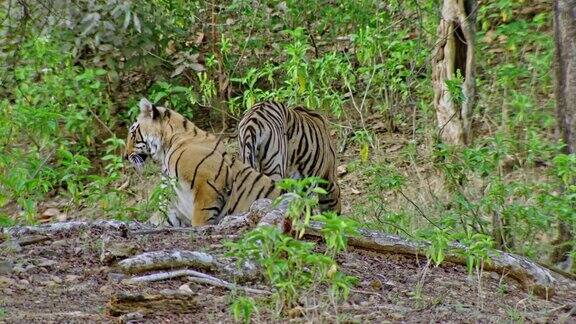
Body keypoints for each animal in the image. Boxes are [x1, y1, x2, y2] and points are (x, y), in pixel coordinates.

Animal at [125, 97, 280, 227]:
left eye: (132, 133)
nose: (125, 156)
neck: (167, 147)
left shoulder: (207, 183)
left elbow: (200, 218)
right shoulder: (174, 200)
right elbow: (160, 217)